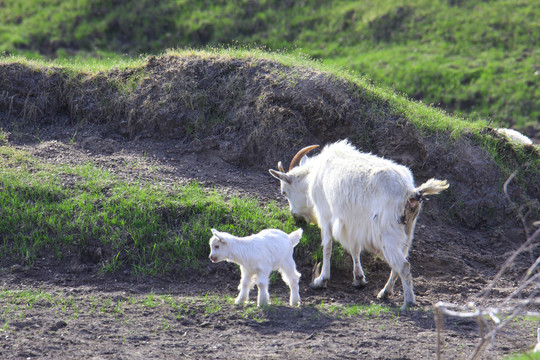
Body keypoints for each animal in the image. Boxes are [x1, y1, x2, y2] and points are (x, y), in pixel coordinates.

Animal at [268, 141, 450, 310]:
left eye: (284, 192)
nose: (295, 216)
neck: (314, 176)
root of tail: (410, 193)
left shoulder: (326, 214)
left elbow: (327, 246)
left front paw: (321, 280)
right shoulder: (352, 223)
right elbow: (355, 249)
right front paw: (359, 279)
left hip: (387, 234)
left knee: (403, 265)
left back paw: (409, 302)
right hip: (408, 230)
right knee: (400, 262)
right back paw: (385, 292)